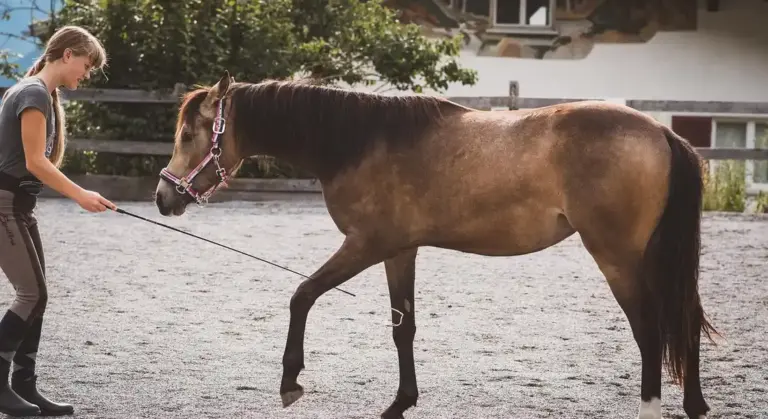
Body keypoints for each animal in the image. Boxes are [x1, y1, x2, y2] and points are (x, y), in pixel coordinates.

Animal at [154, 71, 718, 419]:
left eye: (188, 135)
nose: (163, 197)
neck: (360, 141)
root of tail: (663, 133)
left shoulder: (366, 244)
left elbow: (302, 295)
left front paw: (290, 381)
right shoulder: (399, 251)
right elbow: (403, 327)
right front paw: (401, 402)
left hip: (618, 257)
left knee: (650, 329)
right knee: (685, 319)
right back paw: (695, 406)